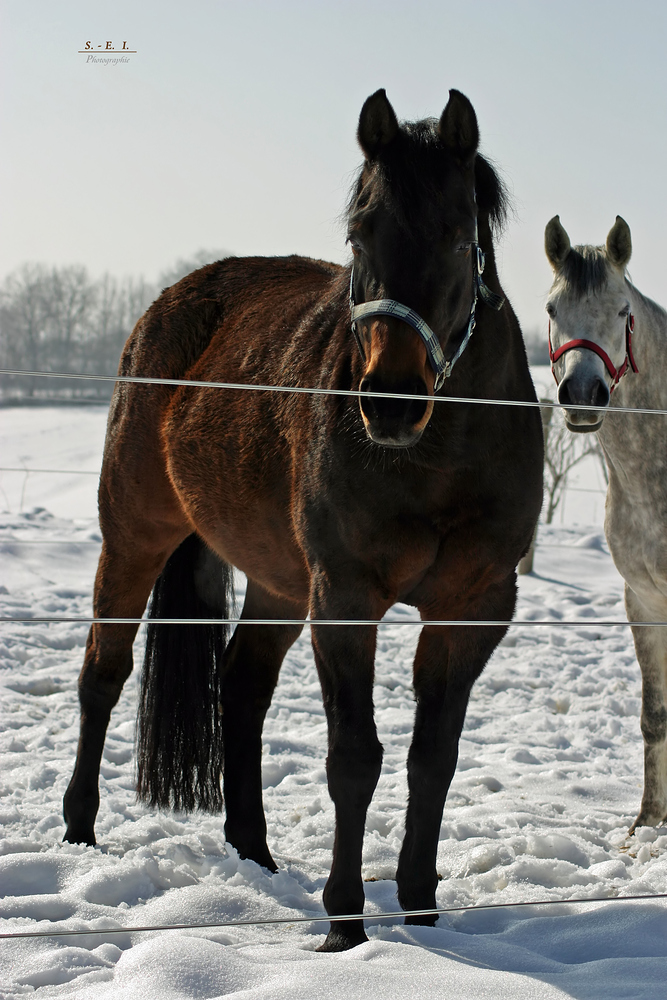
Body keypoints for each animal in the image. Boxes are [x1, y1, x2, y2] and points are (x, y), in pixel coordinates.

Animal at [62, 90, 544, 948]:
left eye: (458, 238)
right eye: (359, 234)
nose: (388, 401)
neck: (440, 452)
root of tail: (171, 302)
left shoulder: (473, 608)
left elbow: (433, 757)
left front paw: (421, 909)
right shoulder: (345, 599)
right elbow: (354, 757)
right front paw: (344, 926)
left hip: (278, 583)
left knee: (240, 685)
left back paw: (253, 850)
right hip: (135, 536)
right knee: (103, 675)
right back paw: (80, 832)